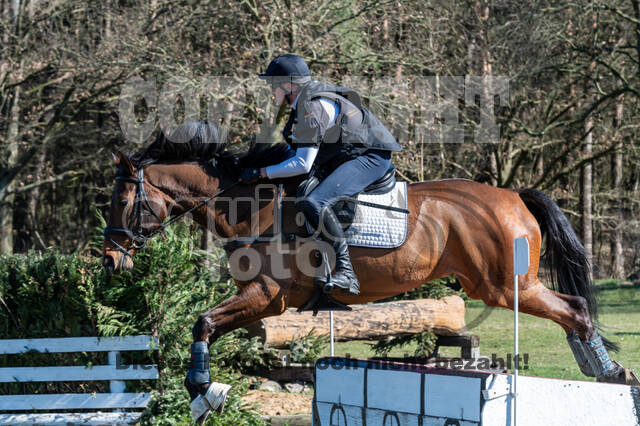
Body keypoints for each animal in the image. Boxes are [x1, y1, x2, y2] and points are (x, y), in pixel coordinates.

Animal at [102, 120, 636, 422]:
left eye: (122, 201)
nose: (109, 261)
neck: (250, 208)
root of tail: (513, 196)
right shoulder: (265, 303)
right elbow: (209, 327)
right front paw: (203, 391)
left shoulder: (266, 295)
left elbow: (202, 322)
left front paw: (204, 392)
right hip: (502, 285)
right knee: (573, 309)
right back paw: (602, 371)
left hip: (504, 286)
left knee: (575, 307)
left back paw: (609, 374)